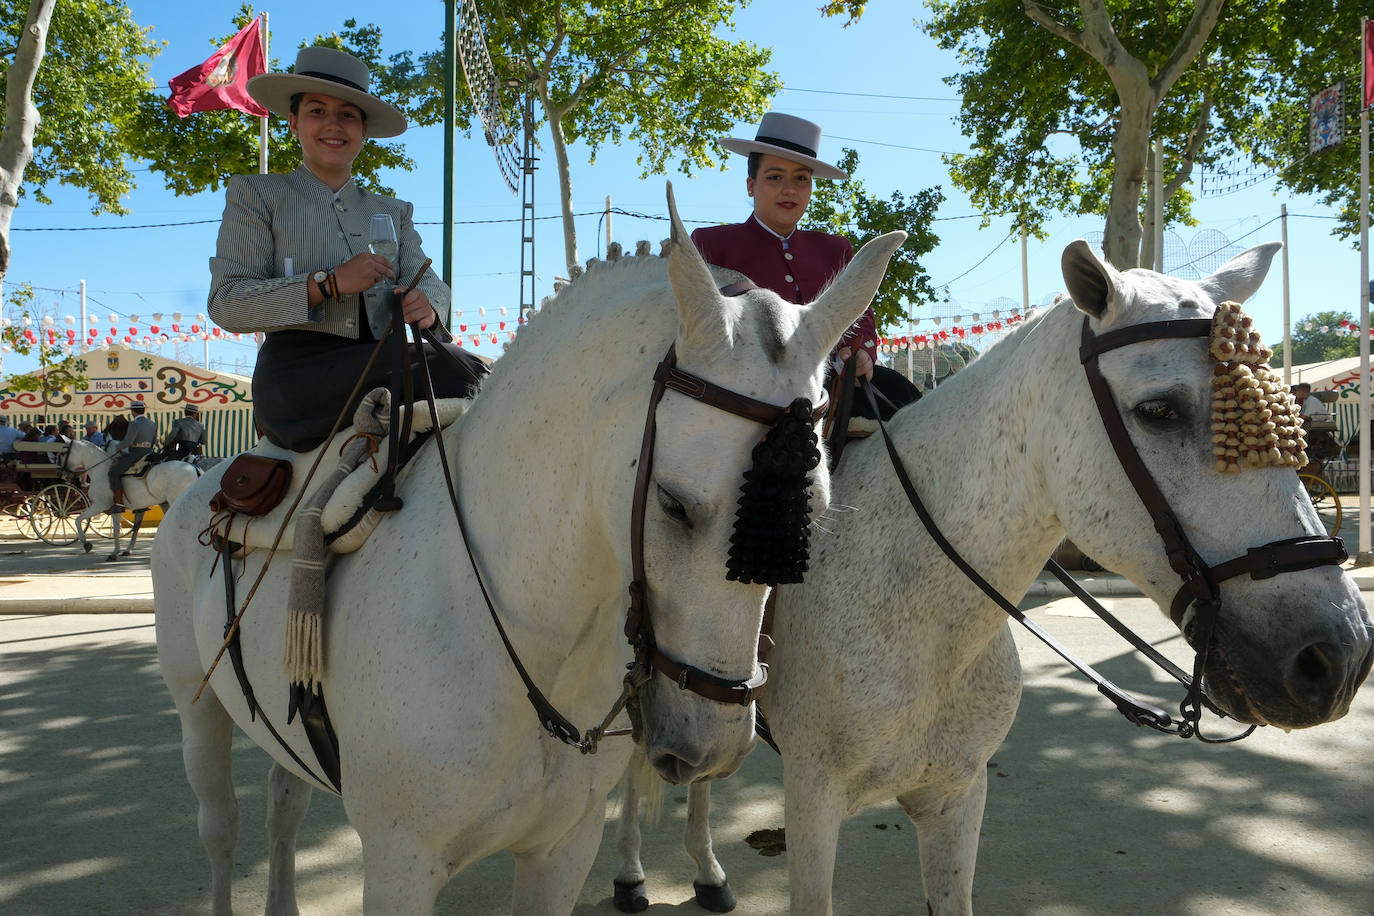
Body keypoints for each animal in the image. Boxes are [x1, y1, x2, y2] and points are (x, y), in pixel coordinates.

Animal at [60, 436, 200, 560]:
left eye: (63, 453)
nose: (62, 473)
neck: (101, 471)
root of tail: (194, 467)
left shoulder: (99, 505)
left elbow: (78, 520)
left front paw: (87, 545)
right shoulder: (115, 509)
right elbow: (117, 530)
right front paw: (115, 552)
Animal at [150, 182, 906, 911]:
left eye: (816, 516)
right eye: (673, 504)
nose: (711, 747)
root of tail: (199, 481)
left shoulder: (561, 852)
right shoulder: (399, 867)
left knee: (283, 806)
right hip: (198, 712)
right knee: (222, 829)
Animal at [615, 240, 1374, 911]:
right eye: (1159, 410)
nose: (1335, 656)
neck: (918, 619)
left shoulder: (956, 797)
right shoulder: (812, 802)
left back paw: (707, 870)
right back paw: (632, 873)